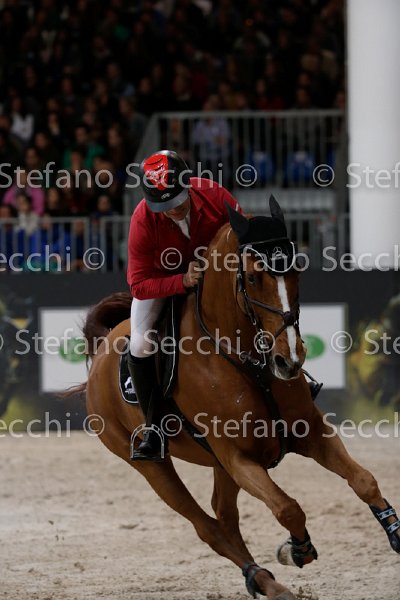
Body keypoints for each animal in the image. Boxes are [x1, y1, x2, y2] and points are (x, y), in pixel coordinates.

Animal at [78, 196, 400, 599]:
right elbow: (288, 508)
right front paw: (296, 550)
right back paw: (265, 580)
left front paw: (395, 532)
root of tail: (102, 350)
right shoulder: (239, 458)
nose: (289, 360)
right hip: (151, 465)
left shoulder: (310, 433)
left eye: (297, 270)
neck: (248, 362)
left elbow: (363, 479)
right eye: (253, 277)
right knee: (209, 527)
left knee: (225, 516)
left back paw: (262, 580)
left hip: (217, 465)